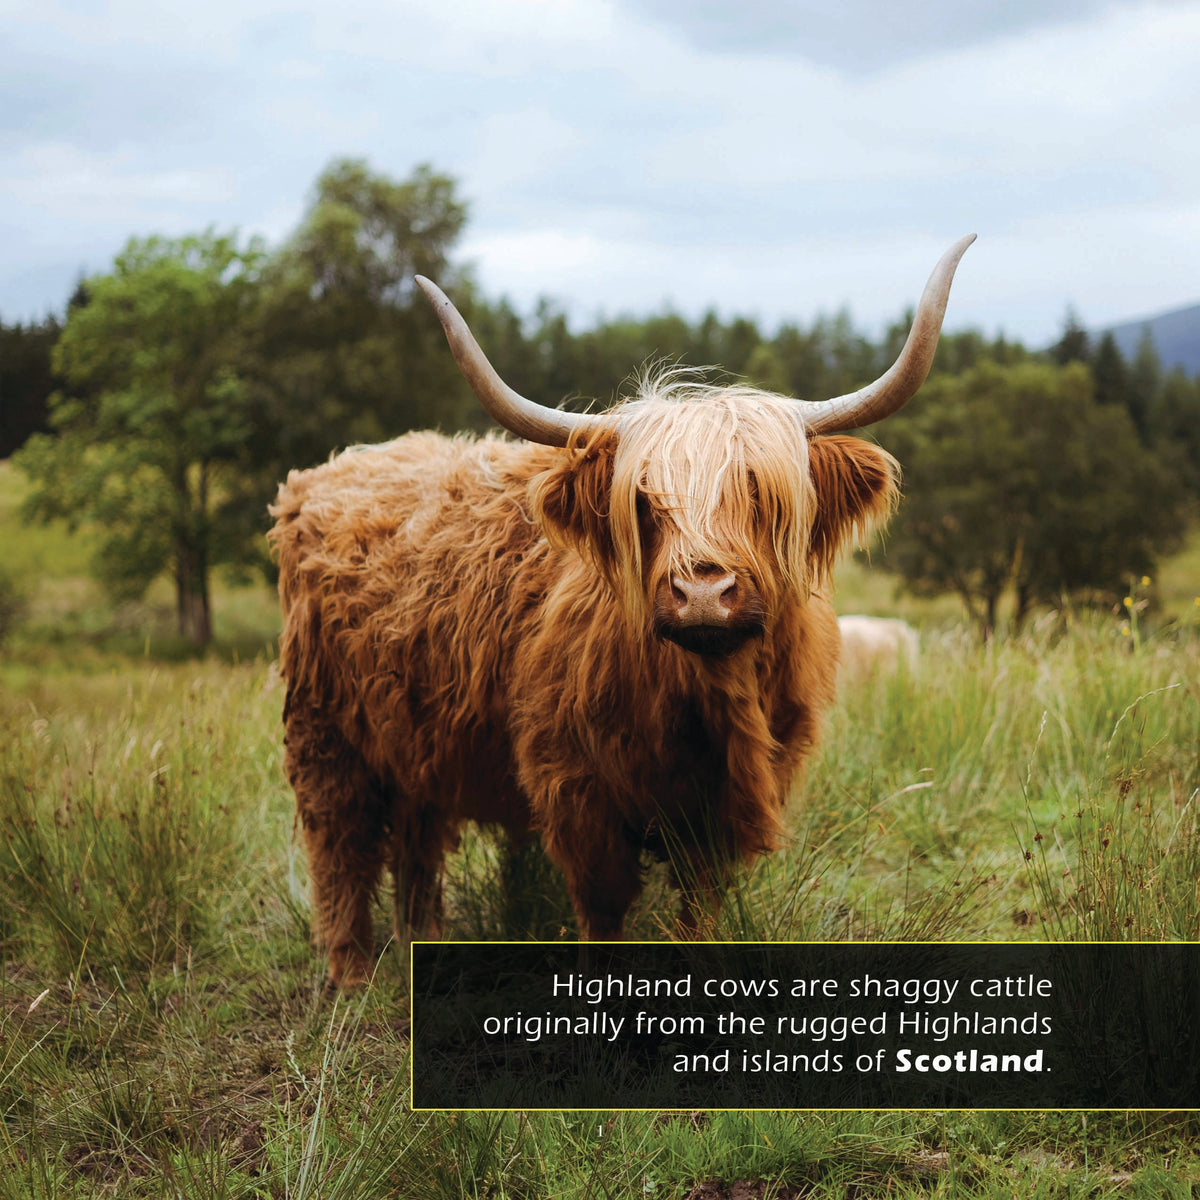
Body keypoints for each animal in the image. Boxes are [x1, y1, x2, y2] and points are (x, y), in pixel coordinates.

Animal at [269, 235, 974, 987]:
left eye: (759, 491)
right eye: (643, 500)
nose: (703, 593)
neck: (705, 702)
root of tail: (334, 469)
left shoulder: (725, 807)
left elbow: (701, 904)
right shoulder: (577, 790)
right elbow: (604, 905)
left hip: (415, 737)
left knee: (417, 841)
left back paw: (425, 951)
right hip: (324, 730)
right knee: (339, 844)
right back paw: (349, 977)